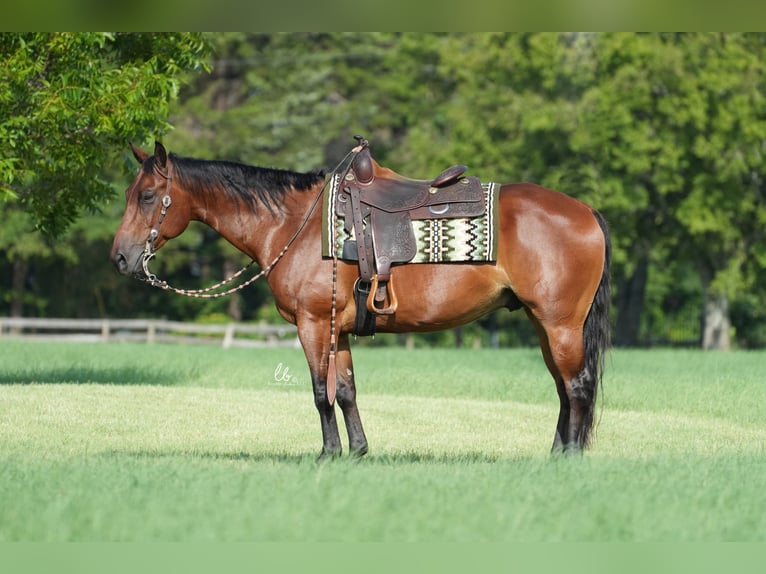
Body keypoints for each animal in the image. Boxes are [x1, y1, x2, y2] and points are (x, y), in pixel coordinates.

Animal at [109, 142, 612, 462]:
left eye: (147, 196)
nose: (120, 257)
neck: (295, 224)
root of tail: (585, 211)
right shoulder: (340, 328)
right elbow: (347, 390)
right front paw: (358, 452)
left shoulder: (313, 324)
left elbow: (320, 392)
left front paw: (328, 453)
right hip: (544, 326)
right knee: (563, 388)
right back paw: (554, 456)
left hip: (560, 324)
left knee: (578, 385)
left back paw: (569, 458)